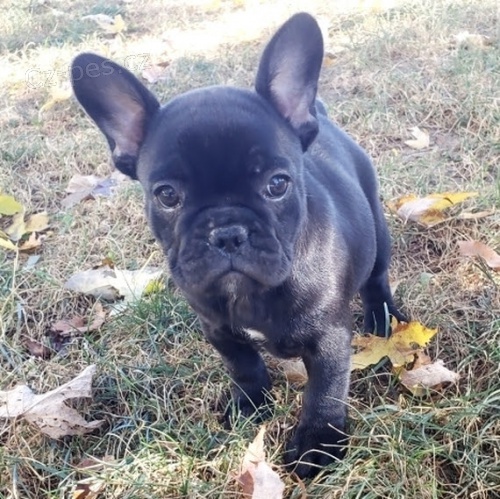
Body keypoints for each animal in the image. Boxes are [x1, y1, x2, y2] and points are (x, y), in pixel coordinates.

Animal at [71, 12, 405, 478]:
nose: (227, 232)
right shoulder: (218, 329)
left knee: (376, 279)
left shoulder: (329, 339)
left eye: (278, 184)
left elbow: (324, 391)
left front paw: (318, 444)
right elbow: (243, 365)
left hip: (376, 226)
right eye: (167, 195)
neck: (251, 293)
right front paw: (249, 406)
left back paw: (383, 319)